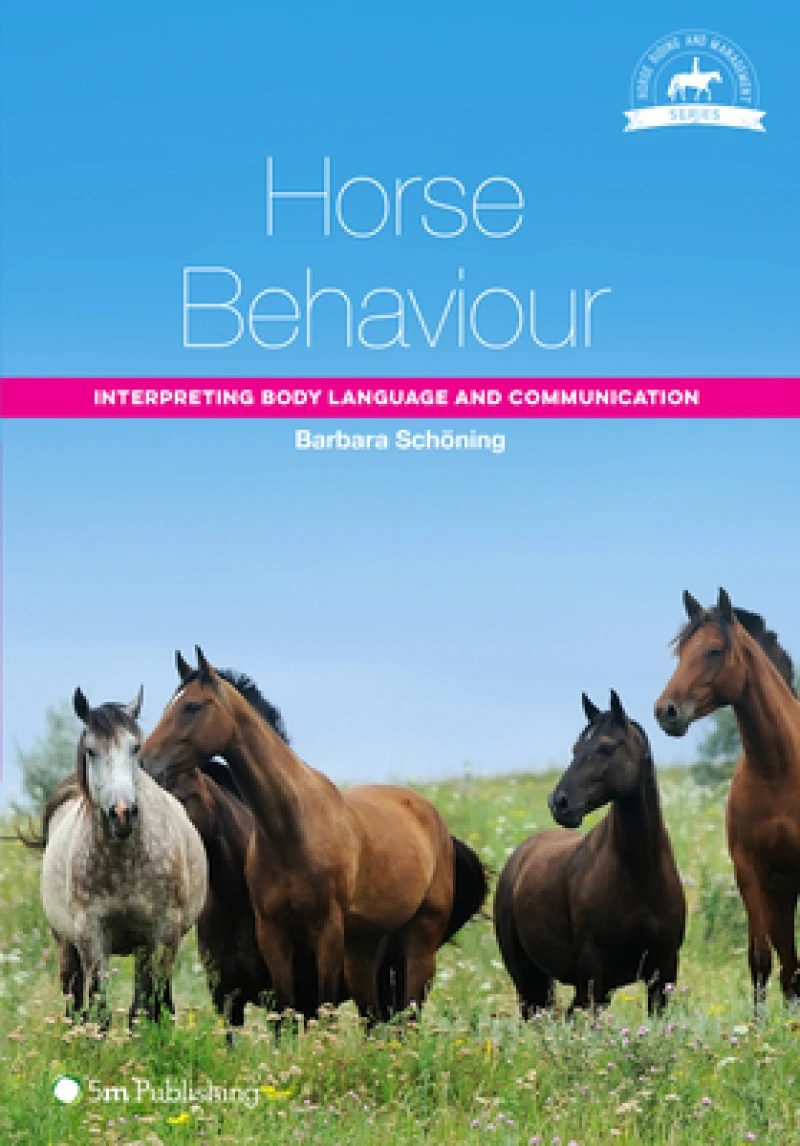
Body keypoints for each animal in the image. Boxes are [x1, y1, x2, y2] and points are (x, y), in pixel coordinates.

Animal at [38, 687, 207, 1027]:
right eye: (91, 751)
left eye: (135, 747)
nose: (122, 813)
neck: (123, 864)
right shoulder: (91, 936)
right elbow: (99, 1012)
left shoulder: (162, 933)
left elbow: (153, 1008)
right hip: (65, 944)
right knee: (74, 1002)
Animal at [141, 648, 489, 1023]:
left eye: (191, 706)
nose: (144, 762)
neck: (291, 832)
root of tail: (435, 822)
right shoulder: (273, 937)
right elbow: (286, 1008)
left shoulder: (327, 934)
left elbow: (322, 1006)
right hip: (365, 953)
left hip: (418, 946)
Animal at [494, 691, 686, 1017]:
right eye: (575, 747)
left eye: (606, 747)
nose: (559, 803)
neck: (640, 873)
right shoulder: (594, 978)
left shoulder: (662, 974)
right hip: (527, 978)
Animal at [655, 588, 800, 1013]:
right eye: (680, 652)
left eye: (714, 650)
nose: (666, 711)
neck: (778, 769)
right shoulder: (750, 872)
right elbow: (760, 960)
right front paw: (757, 1026)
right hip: (781, 893)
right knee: (789, 967)